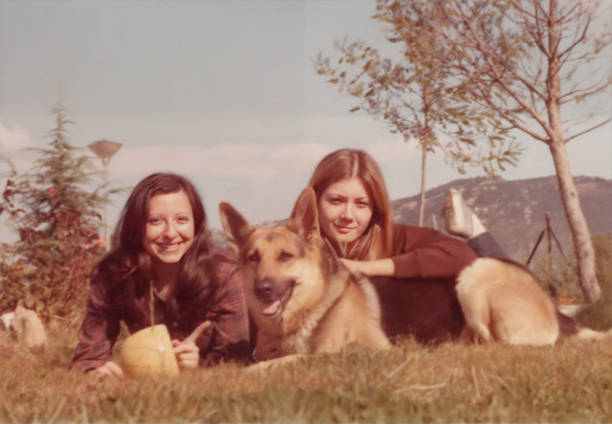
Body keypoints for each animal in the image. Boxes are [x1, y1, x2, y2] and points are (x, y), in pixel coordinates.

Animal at [220, 189, 390, 364]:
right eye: (253, 258)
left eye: (285, 256)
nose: (261, 289)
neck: (312, 305)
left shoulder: (367, 349)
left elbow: (288, 359)